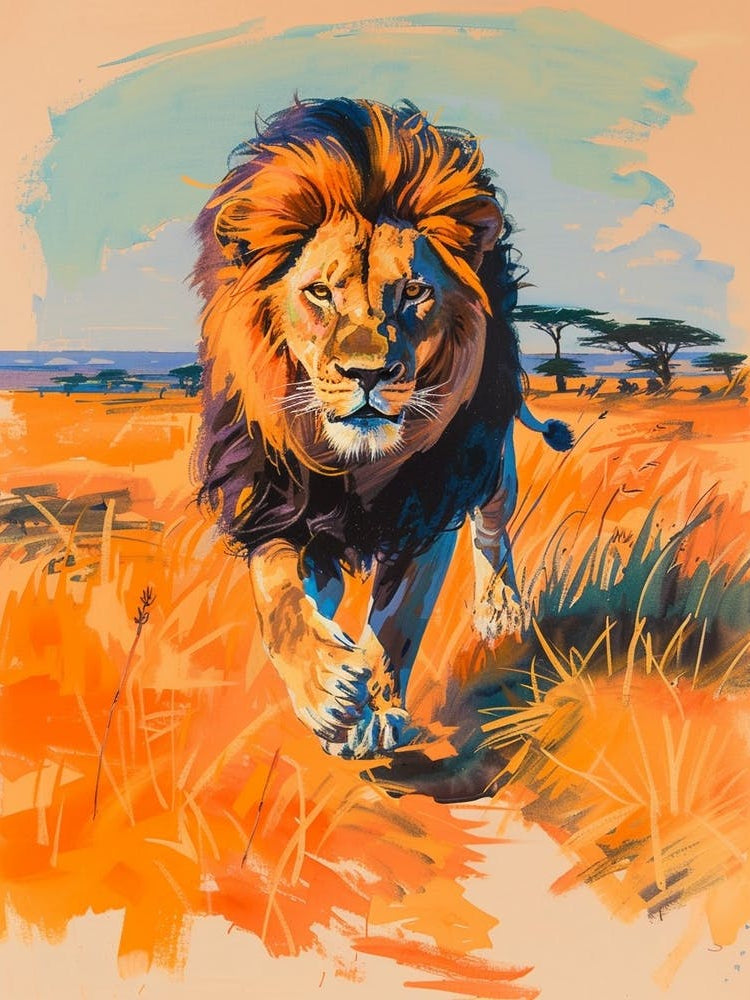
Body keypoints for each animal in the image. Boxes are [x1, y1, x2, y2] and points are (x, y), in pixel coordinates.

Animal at [192, 98, 572, 759]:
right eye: (320, 292)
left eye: (414, 291)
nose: (368, 374)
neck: (354, 462)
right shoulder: (277, 503)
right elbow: (281, 600)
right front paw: (328, 692)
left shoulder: (424, 510)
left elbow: (397, 621)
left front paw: (376, 710)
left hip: (490, 458)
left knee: (492, 527)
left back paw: (499, 610)